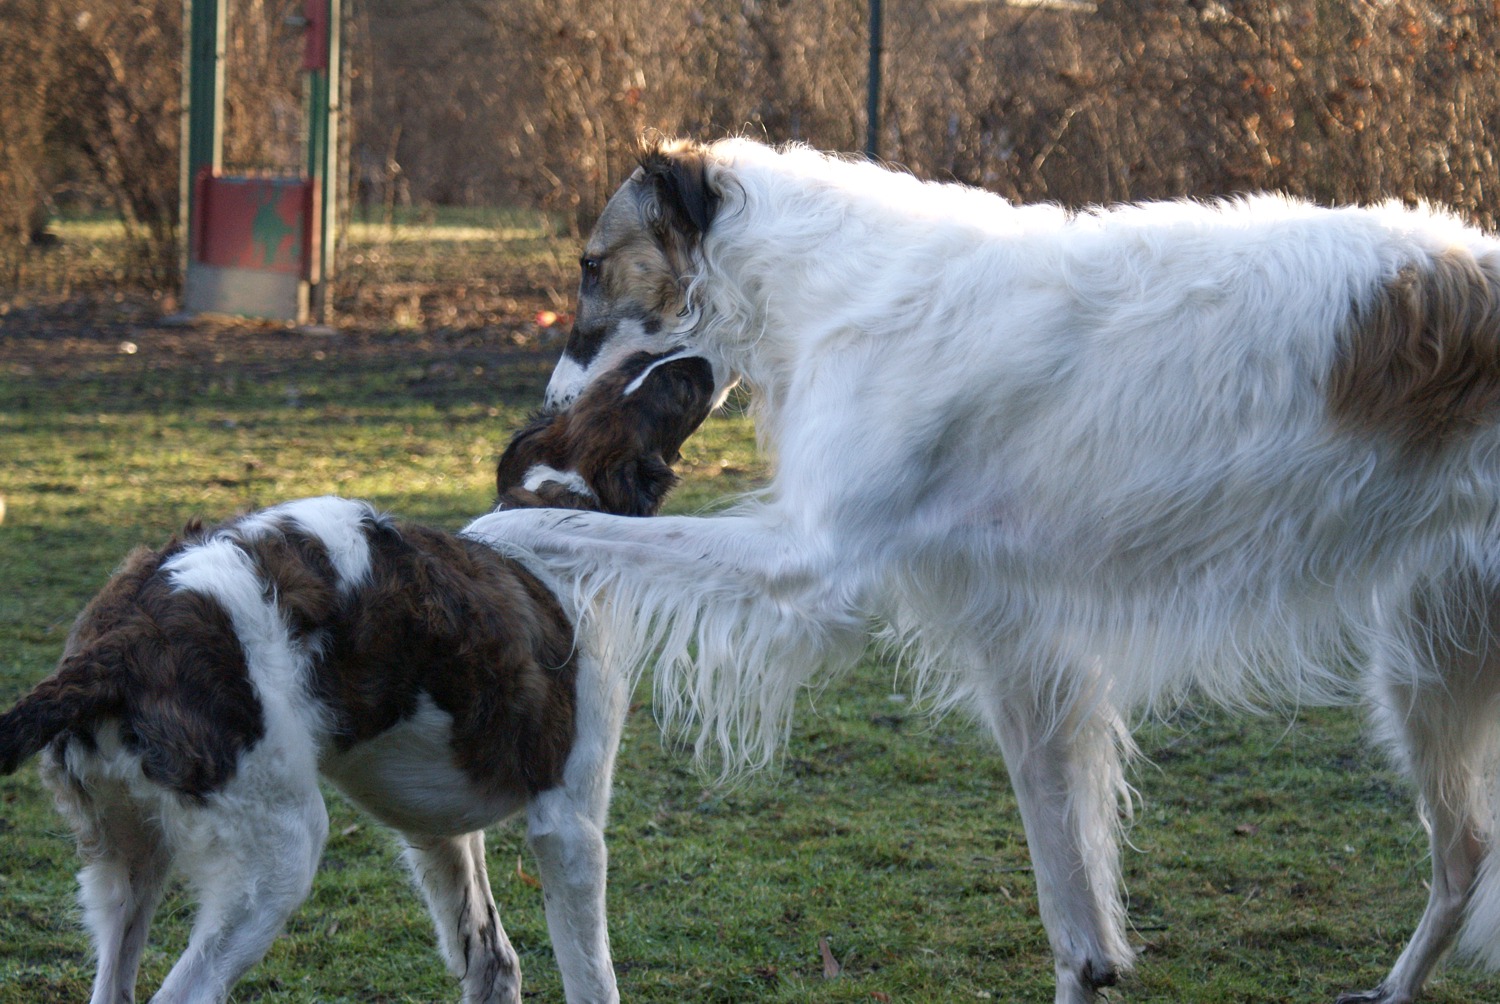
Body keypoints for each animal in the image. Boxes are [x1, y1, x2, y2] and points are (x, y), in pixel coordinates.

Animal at [0, 351, 717, 1002]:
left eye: (632, 365)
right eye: (672, 387)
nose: (702, 360)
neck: (564, 501)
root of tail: (121, 641)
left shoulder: (440, 832)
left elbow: (492, 962)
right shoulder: (569, 827)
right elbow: (591, 977)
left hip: (129, 866)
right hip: (277, 860)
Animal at [468, 141, 1500, 1002]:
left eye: (592, 265)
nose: (549, 406)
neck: (832, 284)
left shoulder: (809, 559)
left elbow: (553, 525)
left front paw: (487, 532)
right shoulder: (1019, 646)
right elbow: (1075, 919)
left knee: (1466, 853)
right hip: (1431, 662)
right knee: (1467, 852)